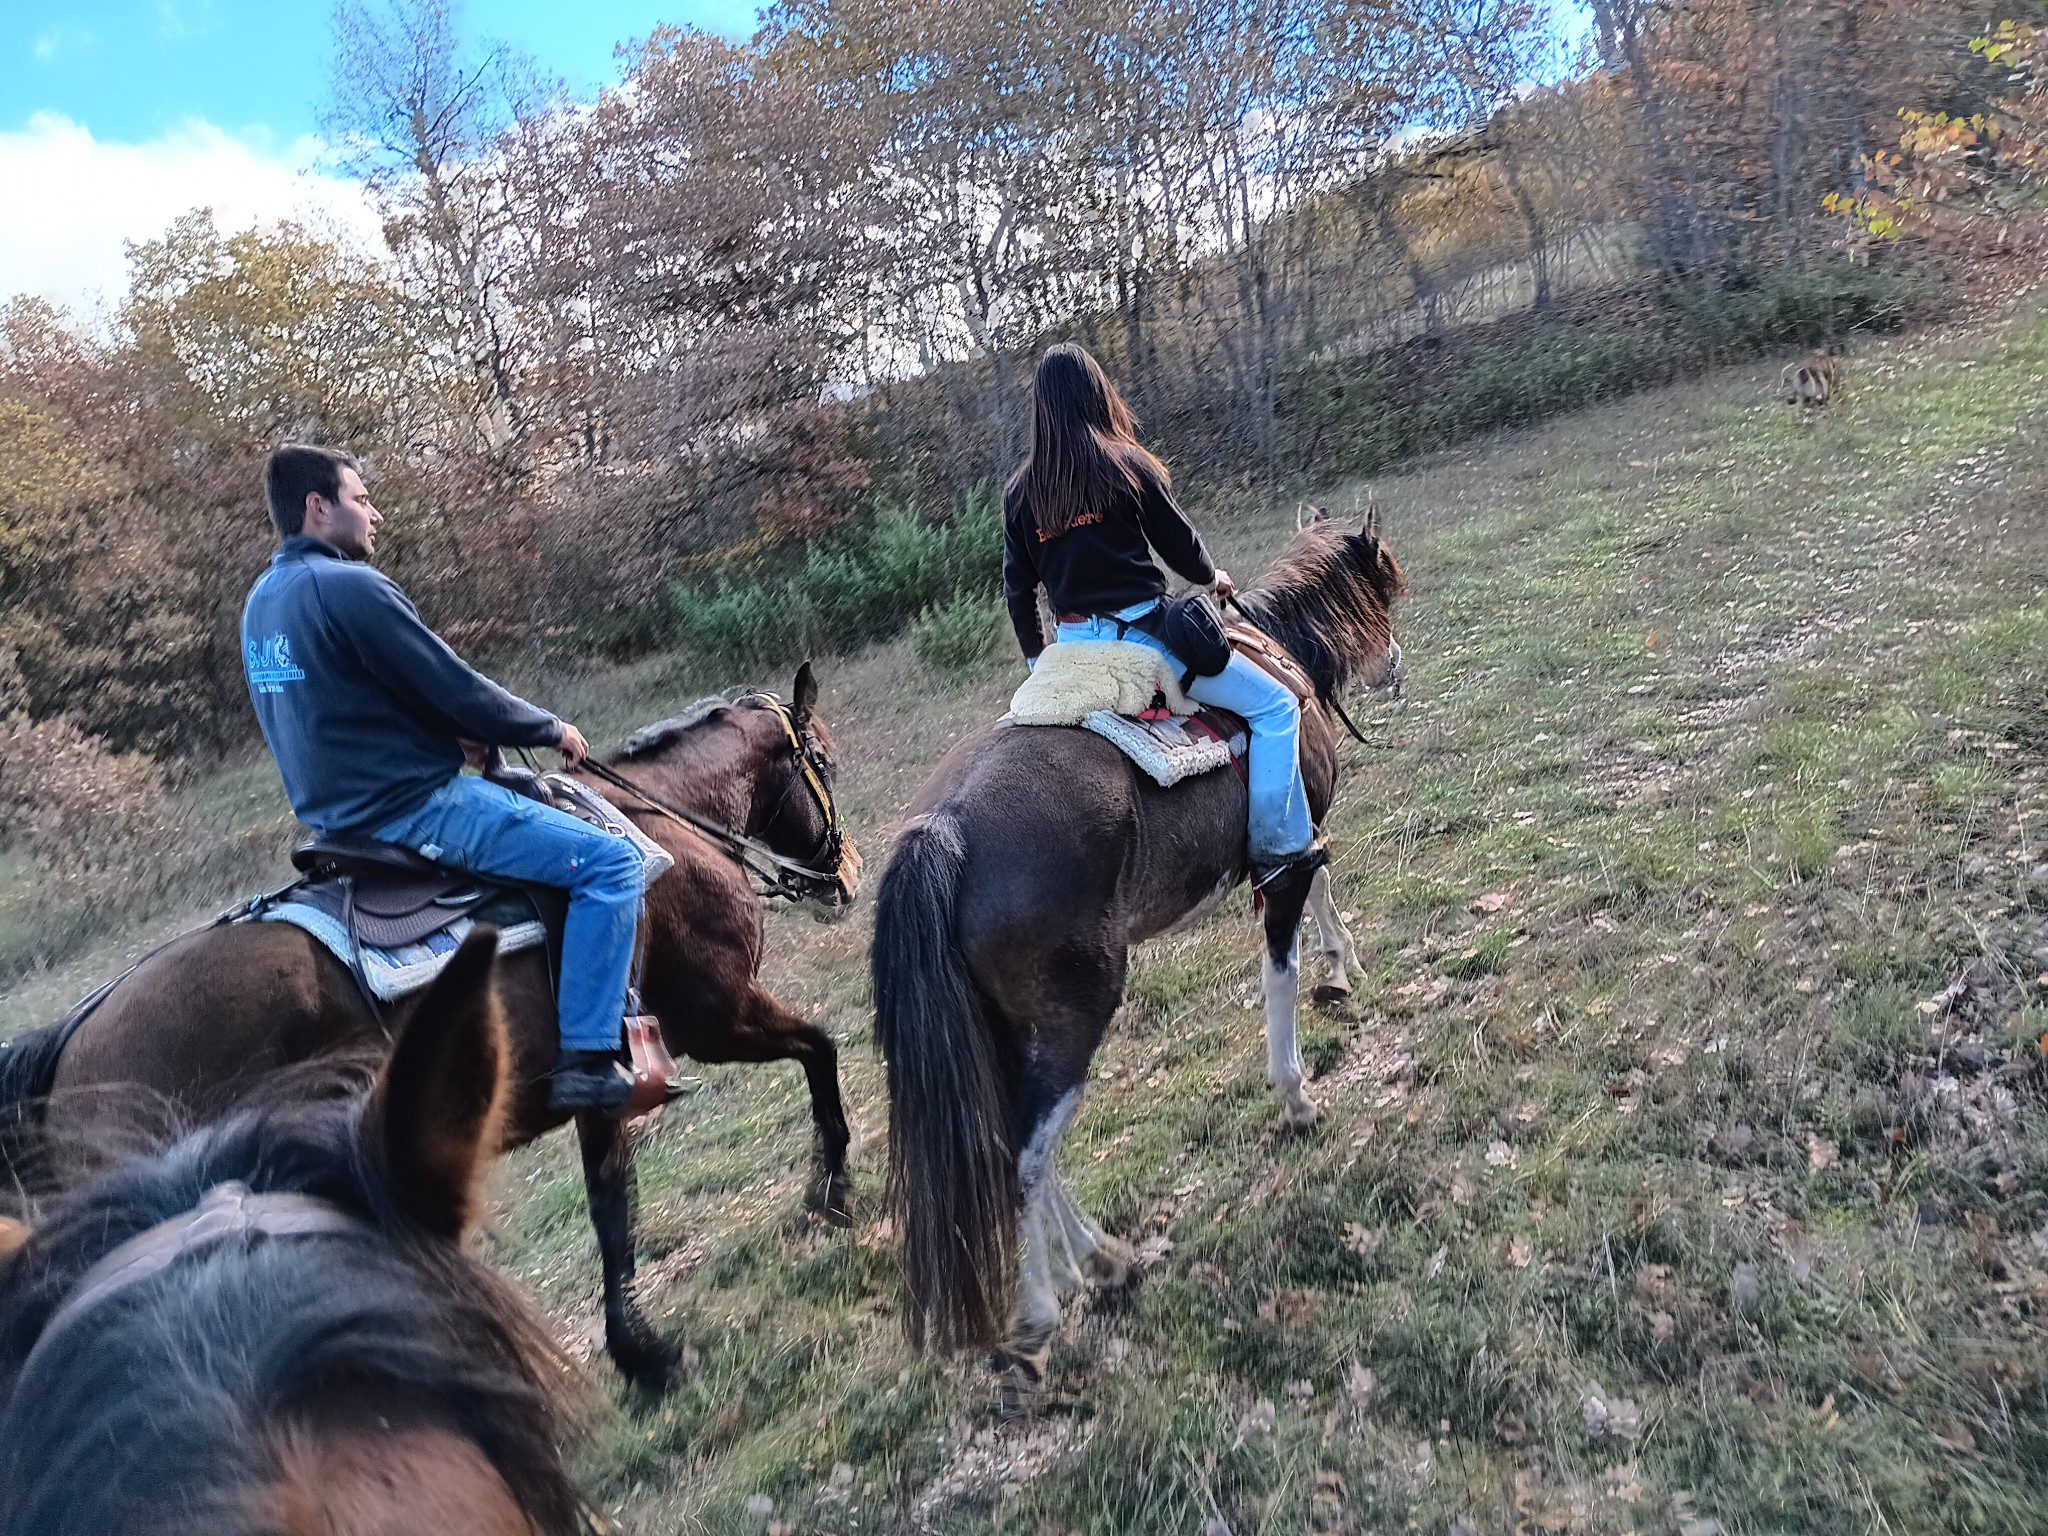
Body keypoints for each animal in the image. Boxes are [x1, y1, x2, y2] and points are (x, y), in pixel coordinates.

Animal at [0, 666, 857, 1392]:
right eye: (822, 757)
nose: (845, 873)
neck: (661, 829)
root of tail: (71, 1043)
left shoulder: (611, 1085)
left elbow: (610, 1205)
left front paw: (635, 1353)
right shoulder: (716, 1016)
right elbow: (819, 1049)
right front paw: (831, 1191)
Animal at [870, 511, 1405, 1396]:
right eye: (1387, 579)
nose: (1395, 662)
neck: (1277, 650)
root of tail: (942, 829)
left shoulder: (1293, 844)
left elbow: (1322, 882)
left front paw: (1342, 965)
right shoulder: (1284, 851)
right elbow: (1284, 960)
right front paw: (1297, 1090)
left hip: (1013, 1027)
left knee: (1019, 1143)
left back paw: (1104, 1260)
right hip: (1079, 1007)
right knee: (1028, 1151)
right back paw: (1042, 1315)